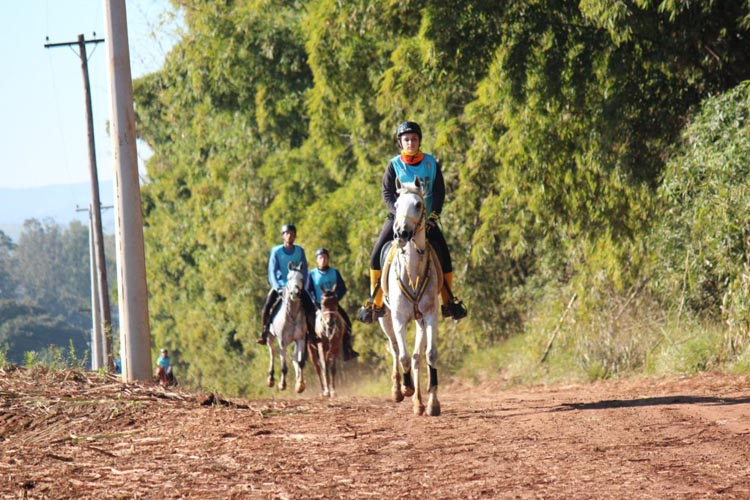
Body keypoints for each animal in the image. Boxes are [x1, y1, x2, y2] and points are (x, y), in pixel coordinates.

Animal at [268, 264, 308, 392]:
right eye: (289, 278)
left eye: (301, 278)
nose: (295, 293)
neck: (292, 315)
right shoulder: (282, 342)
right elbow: (284, 366)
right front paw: (282, 384)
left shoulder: (300, 339)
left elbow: (300, 362)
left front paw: (300, 385)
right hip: (270, 337)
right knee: (272, 353)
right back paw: (270, 379)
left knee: (294, 357)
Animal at [378, 178, 444, 416]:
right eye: (396, 205)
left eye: (417, 204)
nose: (401, 233)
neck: (412, 272)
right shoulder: (398, 318)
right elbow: (403, 356)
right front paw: (406, 387)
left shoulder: (430, 315)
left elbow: (429, 354)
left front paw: (433, 403)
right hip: (385, 318)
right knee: (396, 348)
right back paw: (399, 390)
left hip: (420, 321)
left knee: (416, 356)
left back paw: (418, 402)